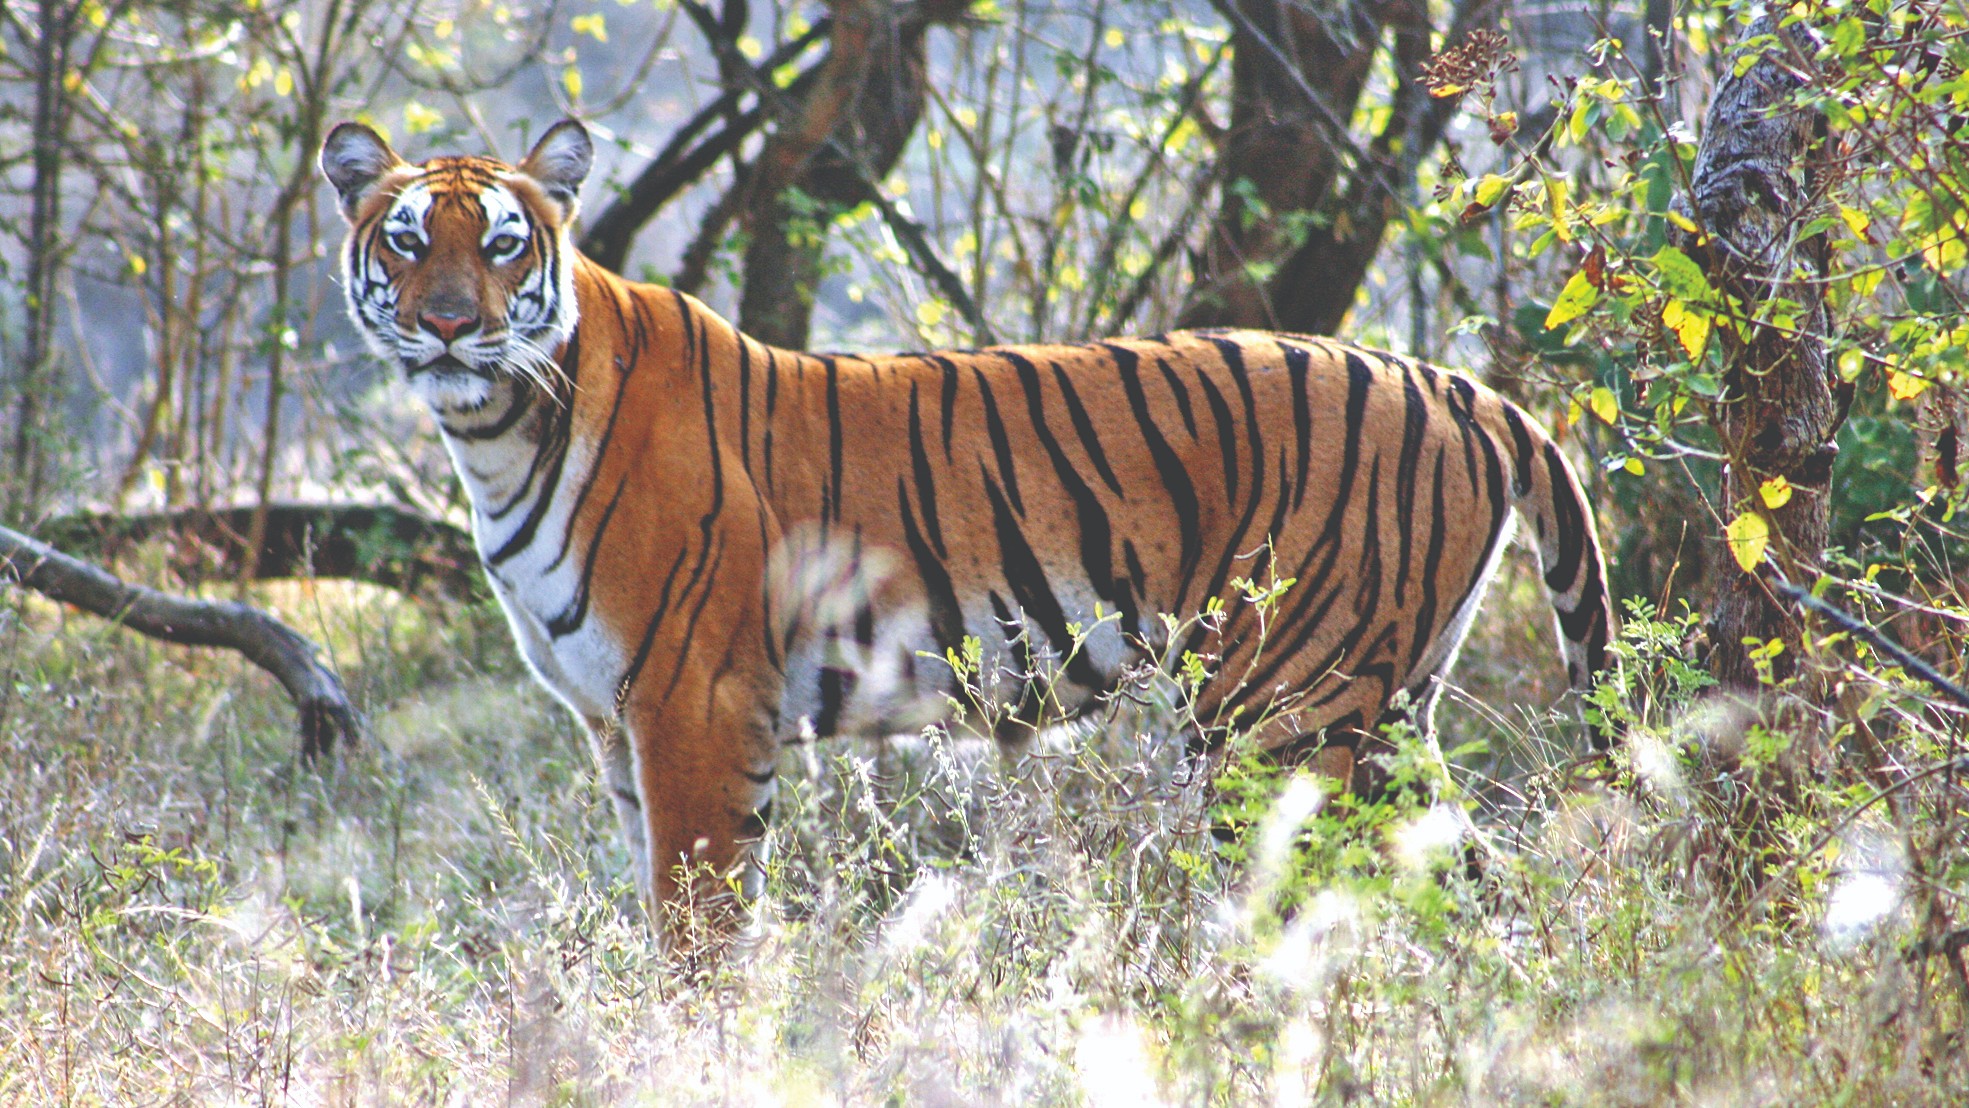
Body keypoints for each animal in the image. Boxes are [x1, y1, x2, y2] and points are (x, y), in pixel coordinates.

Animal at [320, 117, 1614, 930]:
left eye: (501, 243)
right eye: (406, 238)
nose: (448, 324)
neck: (498, 432)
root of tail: (1464, 387)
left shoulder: (692, 705)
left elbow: (700, 931)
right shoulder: (614, 725)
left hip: (1283, 715)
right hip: (1380, 707)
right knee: (1477, 890)